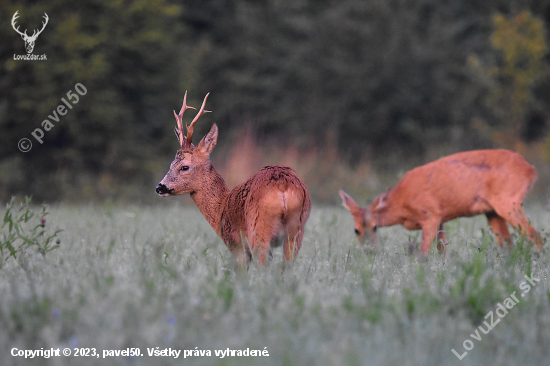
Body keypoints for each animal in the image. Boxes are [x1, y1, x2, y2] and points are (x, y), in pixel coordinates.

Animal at [156, 92, 310, 266]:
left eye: (184, 167)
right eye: (171, 164)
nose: (160, 187)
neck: (222, 208)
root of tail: (283, 185)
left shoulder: (237, 246)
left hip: (259, 230)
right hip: (296, 230)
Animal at [340, 149, 544, 254]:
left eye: (374, 227)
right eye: (356, 230)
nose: (369, 250)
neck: (401, 205)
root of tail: (531, 170)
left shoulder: (430, 214)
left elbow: (424, 251)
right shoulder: (441, 218)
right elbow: (442, 250)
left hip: (509, 202)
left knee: (535, 236)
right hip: (492, 211)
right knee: (507, 244)